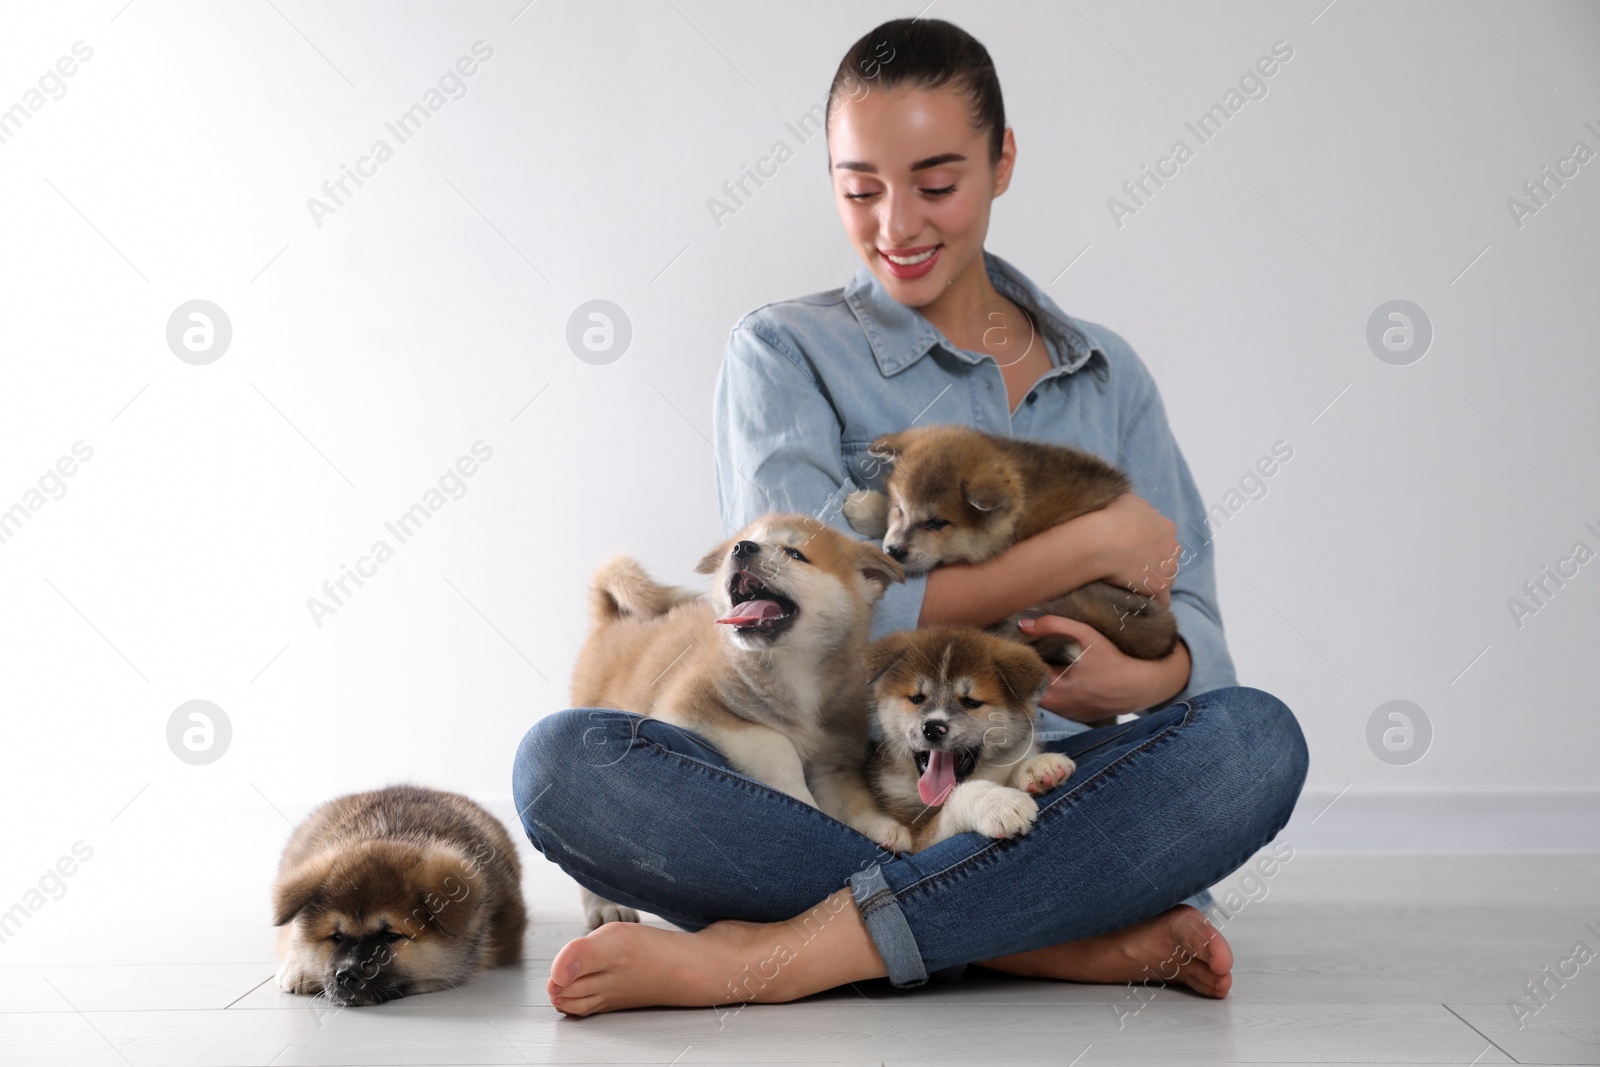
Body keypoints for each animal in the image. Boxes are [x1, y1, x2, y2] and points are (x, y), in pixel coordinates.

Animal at [566, 511, 915, 927]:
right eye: (745, 542)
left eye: (795, 553)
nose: (742, 548)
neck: (795, 674)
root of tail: (610, 620)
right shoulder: (691, 703)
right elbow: (776, 745)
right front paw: (806, 807)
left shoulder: (835, 759)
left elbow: (852, 799)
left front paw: (881, 826)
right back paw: (604, 907)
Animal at [864, 627, 1075, 851]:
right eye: (917, 698)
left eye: (971, 702)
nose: (933, 728)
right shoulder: (919, 838)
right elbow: (959, 797)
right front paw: (998, 802)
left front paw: (1038, 766)